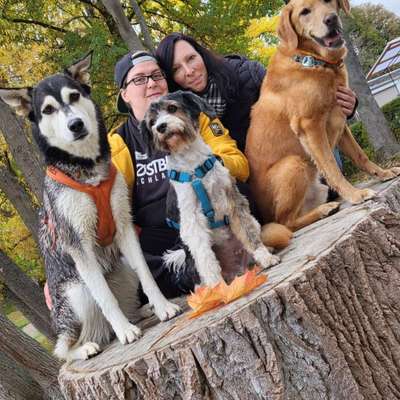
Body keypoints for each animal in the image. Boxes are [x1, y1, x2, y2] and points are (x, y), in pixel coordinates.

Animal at [0, 53, 180, 362]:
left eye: (73, 96)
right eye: (48, 110)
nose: (75, 124)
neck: (88, 171)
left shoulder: (124, 228)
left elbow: (147, 275)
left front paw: (162, 306)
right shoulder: (79, 246)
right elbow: (106, 299)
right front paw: (125, 332)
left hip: (123, 268)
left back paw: (141, 312)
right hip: (77, 294)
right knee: (64, 347)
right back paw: (88, 346)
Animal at [141, 92, 282, 286]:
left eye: (172, 108)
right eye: (152, 122)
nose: (161, 127)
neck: (194, 166)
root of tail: (237, 271)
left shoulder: (233, 200)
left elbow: (249, 234)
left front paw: (266, 257)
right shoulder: (192, 219)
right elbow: (205, 256)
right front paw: (217, 287)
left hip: (254, 223)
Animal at [245, 0, 400, 231]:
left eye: (328, 2)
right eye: (304, 12)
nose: (331, 19)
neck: (312, 61)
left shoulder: (340, 120)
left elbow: (360, 155)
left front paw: (381, 173)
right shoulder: (310, 127)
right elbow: (332, 167)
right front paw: (355, 194)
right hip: (293, 164)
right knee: (286, 223)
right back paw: (323, 210)